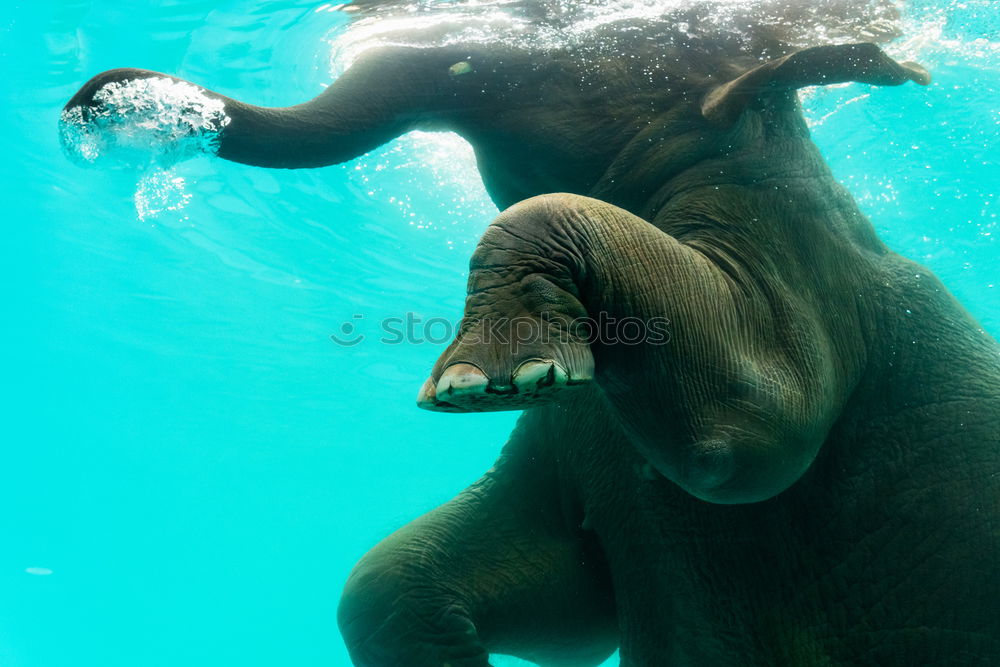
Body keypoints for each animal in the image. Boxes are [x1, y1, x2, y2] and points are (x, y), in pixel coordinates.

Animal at [64, 1, 1000, 667]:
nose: (89, 105)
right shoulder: (567, 446)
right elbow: (515, 606)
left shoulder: (807, 265)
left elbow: (748, 432)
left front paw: (479, 388)